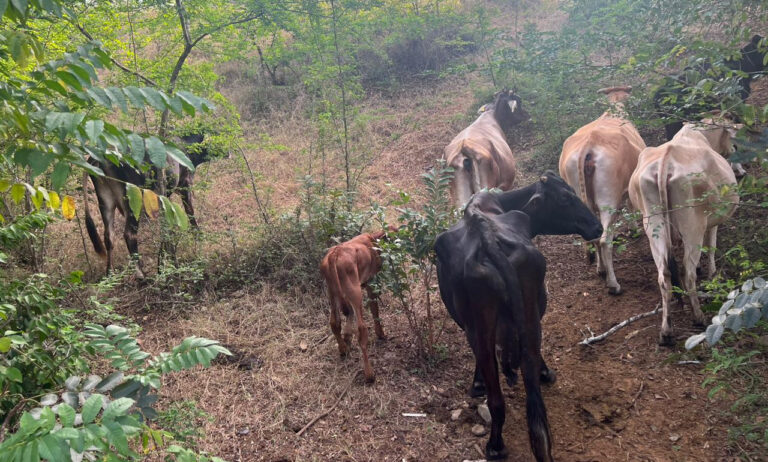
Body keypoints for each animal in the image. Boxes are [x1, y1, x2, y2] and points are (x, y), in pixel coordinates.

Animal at [82, 134, 210, 278]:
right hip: (132, 200)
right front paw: (198, 237)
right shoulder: (184, 184)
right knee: (129, 234)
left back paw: (110, 273)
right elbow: (190, 213)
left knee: (109, 236)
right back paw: (140, 274)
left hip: (105, 200)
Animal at [436, 171, 604, 460]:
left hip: (487, 322)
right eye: (564, 198)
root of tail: (487, 236)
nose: (597, 227)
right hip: (530, 305)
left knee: (500, 390)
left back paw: (496, 444)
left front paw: (478, 382)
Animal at [556, 86, 644, 294]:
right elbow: (631, 207)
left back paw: (601, 269)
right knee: (605, 240)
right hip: (607, 200)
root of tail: (589, 144)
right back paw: (613, 284)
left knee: (595, 235)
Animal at [632, 121, 736, 344]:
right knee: (688, 274)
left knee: (664, 276)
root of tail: (667, 158)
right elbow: (711, 246)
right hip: (693, 224)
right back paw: (698, 317)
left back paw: (666, 331)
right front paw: (712, 273)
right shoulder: (712, 221)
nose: (734, 149)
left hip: (653, 224)